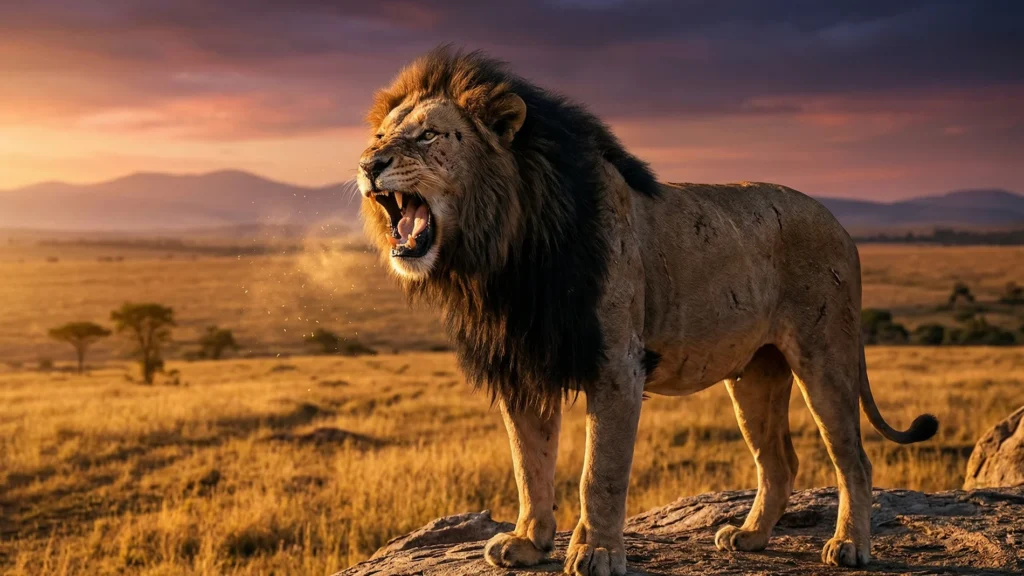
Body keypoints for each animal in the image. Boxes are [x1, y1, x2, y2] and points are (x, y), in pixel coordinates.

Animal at [355, 47, 938, 575]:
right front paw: (527, 543)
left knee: (853, 458)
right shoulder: (525, 364)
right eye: (381, 136)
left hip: (826, 356)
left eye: (429, 135)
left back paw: (850, 546)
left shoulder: (617, 364)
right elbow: (529, 464)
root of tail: (842, 226)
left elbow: (600, 472)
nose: (367, 164)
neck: (504, 250)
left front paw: (597, 553)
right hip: (756, 372)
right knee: (779, 460)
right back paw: (749, 537)